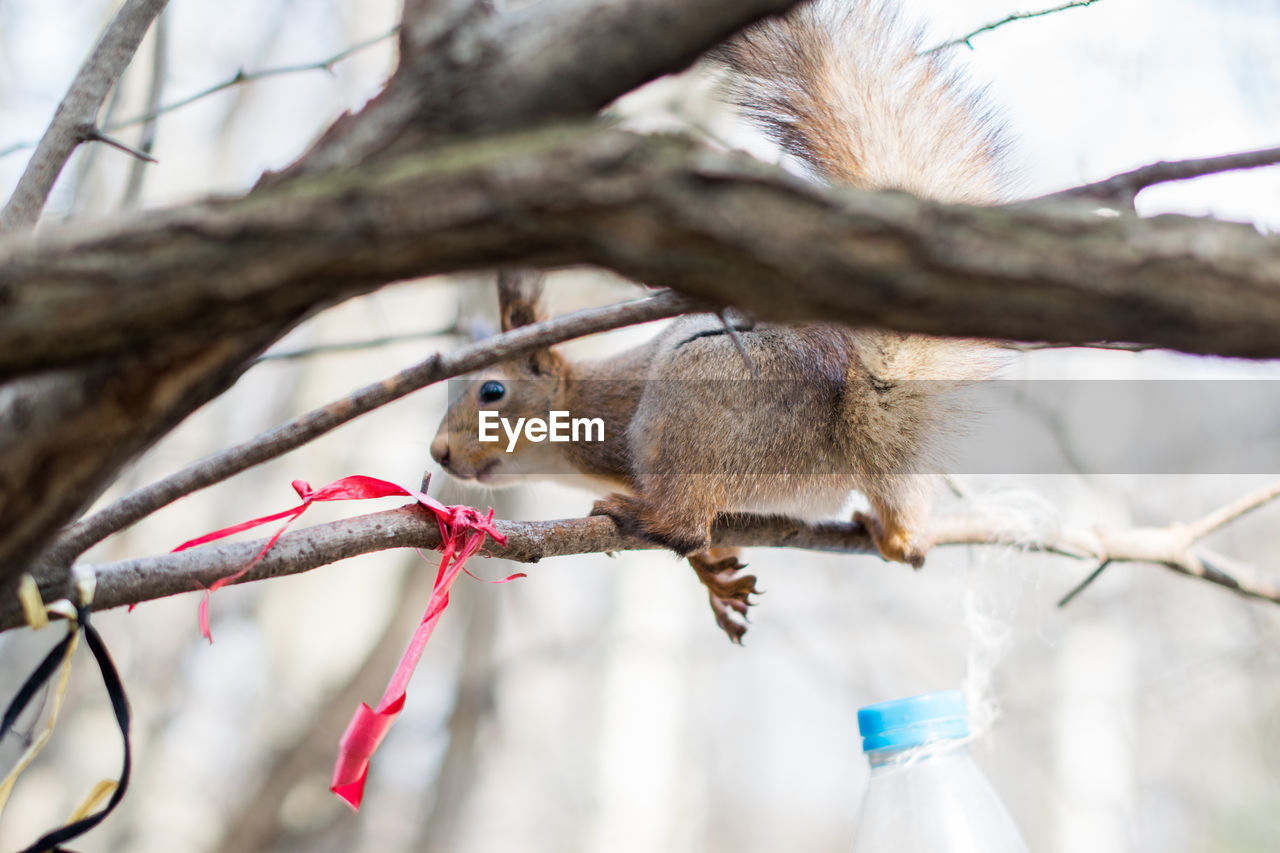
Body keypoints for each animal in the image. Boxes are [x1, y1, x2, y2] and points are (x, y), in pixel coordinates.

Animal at [430, 0, 1008, 637]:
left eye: (491, 390)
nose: (439, 453)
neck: (574, 417)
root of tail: (851, 433)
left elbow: (696, 534)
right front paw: (718, 576)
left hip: (696, 405)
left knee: (683, 522)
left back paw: (637, 515)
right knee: (901, 522)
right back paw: (895, 534)